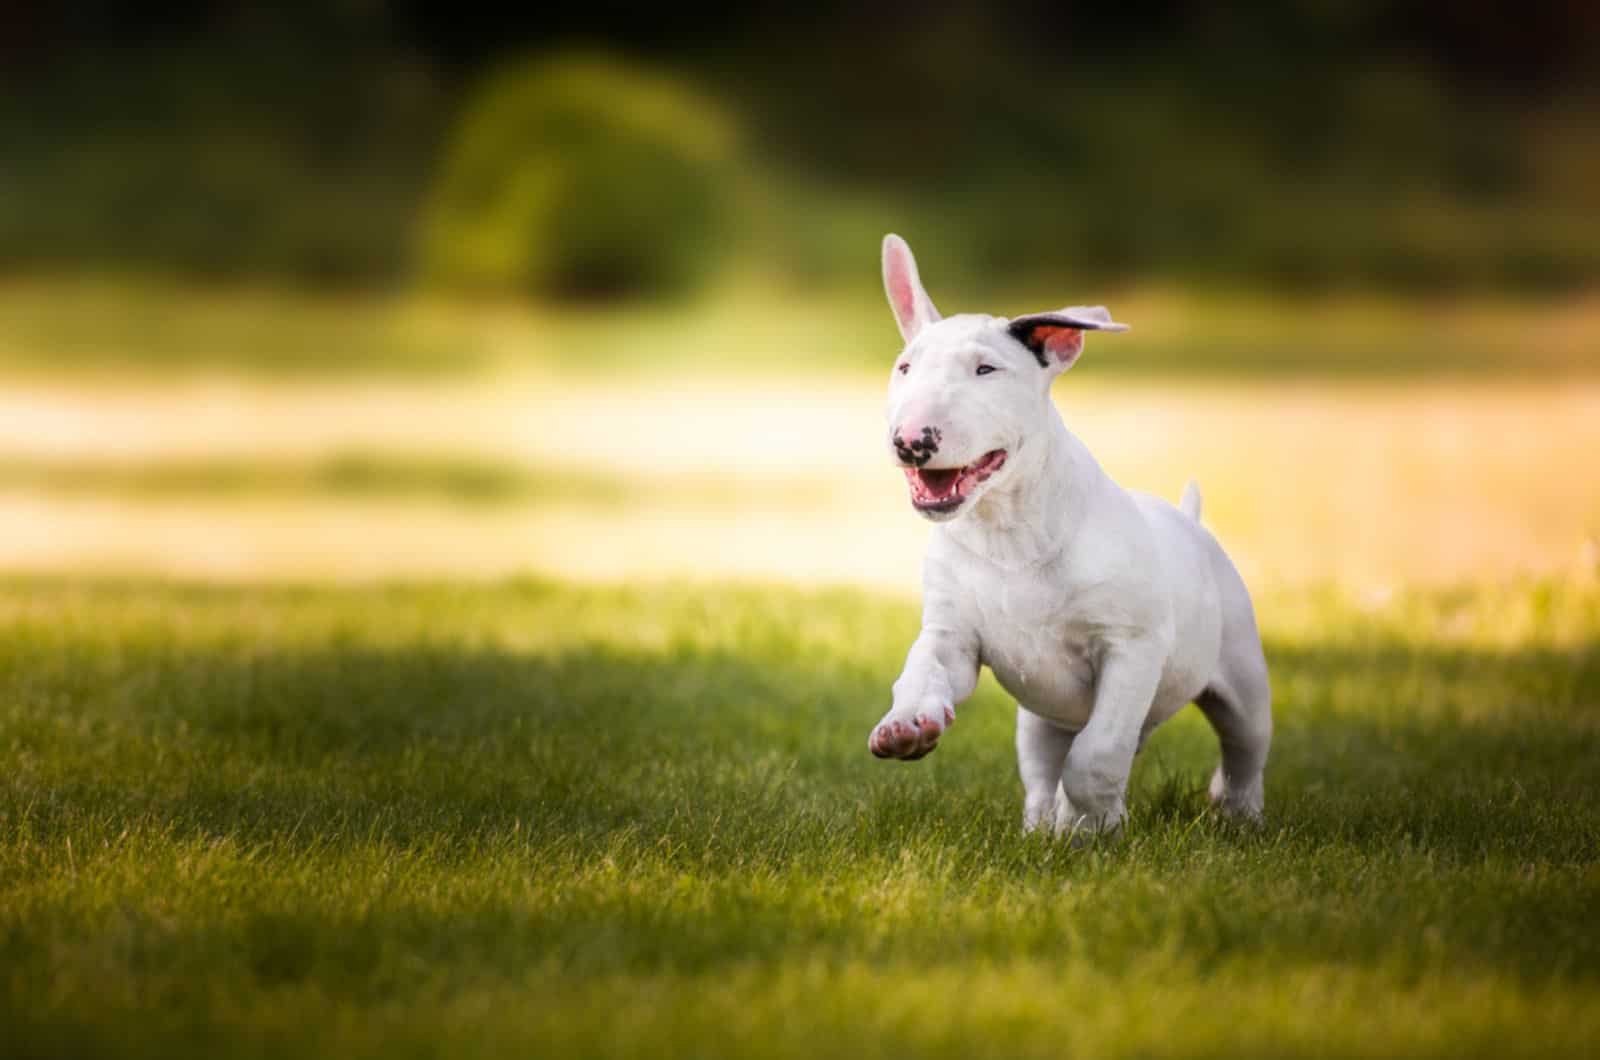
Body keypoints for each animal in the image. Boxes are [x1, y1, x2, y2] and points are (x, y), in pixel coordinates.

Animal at [870, 235, 1267, 839]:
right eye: (905, 367)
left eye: (986, 369)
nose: (911, 441)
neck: (1008, 529)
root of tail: (1191, 522)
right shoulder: (953, 635)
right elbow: (926, 669)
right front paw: (906, 725)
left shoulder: (1131, 648)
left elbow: (1096, 754)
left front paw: (1092, 823)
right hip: (1040, 719)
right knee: (1042, 765)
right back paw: (1041, 827)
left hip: (1242, 680)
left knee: (1241, 749)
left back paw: (1237, 813)